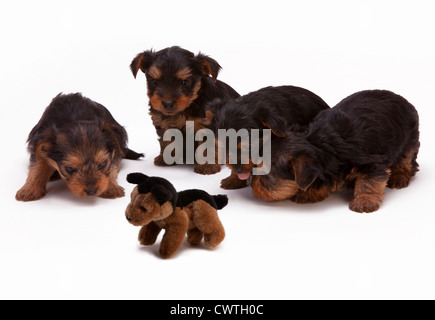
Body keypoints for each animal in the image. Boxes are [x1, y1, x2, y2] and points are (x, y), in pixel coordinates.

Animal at [16, 92, 144, 201]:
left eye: (102, 164)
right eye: (70, 169)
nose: (92, 191)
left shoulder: (115, 148)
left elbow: (112, 167)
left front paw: (111, 187)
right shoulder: (40, 145)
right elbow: (37, 167)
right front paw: (29, 190)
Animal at [131, 46, 240, 174]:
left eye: (184, 82)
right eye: (155, 82)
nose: (167, 103)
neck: (188, 106)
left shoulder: (208, 124)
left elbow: (207, 145)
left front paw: (207, 166)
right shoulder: (163, 122)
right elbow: (166, 141)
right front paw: (166, 158)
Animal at [284, 89, 420, 212]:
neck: (320, 143)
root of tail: (401, 98)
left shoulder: (373, 162)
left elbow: (368, 181)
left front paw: (364, 200)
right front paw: (309, 193)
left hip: (409, 137)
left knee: (406, 158)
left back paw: (399, 176)